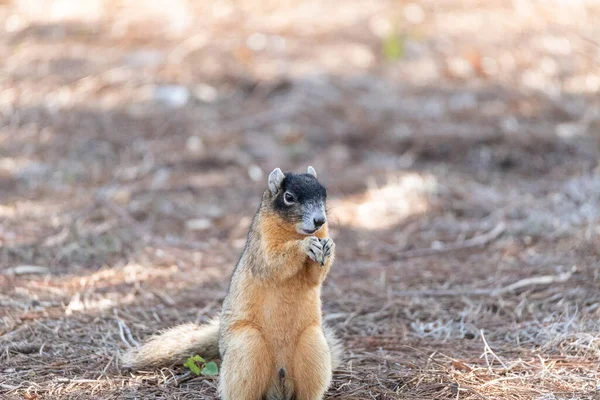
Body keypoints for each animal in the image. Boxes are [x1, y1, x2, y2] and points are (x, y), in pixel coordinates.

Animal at [123, 166, 342, 400]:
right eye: (289, 197)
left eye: (324, 194)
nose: (320, 220)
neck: (295, 232)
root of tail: (279, 385)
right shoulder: (261, 245)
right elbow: (273, 263)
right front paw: (305, 245)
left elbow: (314, 278)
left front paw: (329, 245)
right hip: (247, 345)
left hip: (313, 344)